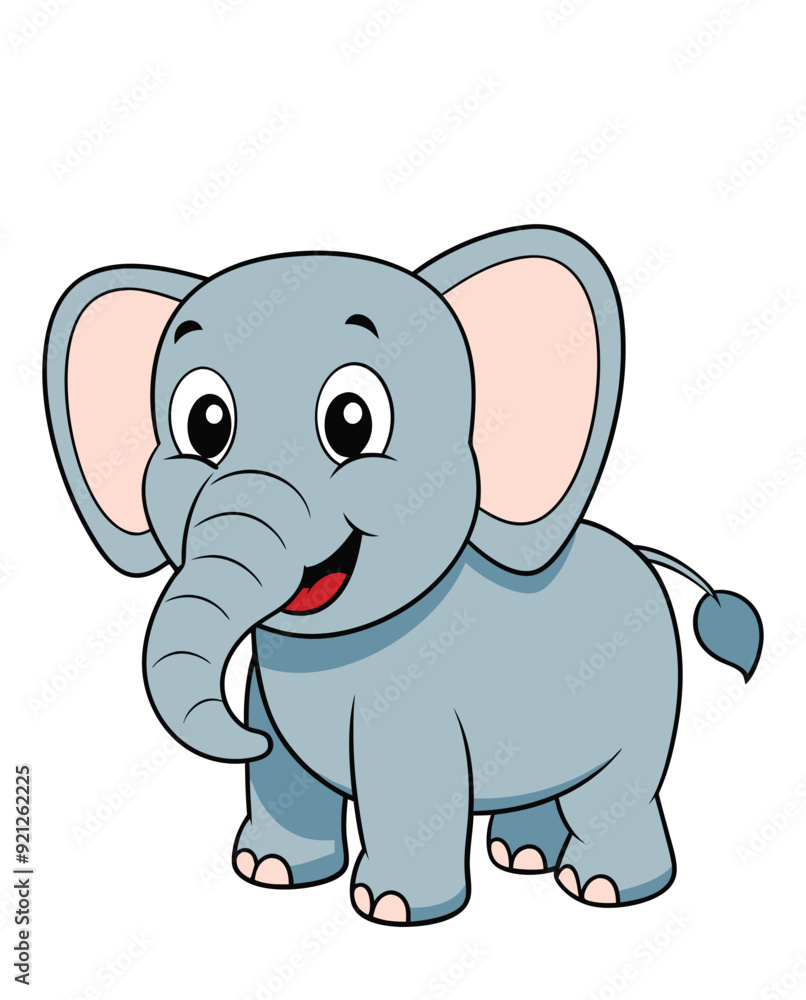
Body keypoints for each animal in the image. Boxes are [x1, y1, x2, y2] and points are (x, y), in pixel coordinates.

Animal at [44, 225, 762, 925]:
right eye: (205, 425)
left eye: (351, 421)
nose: (244, 740)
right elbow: (286, 773)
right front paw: (270, 872)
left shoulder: (416, 702)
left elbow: (406, 784)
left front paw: (390, 908)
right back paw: (522, 855)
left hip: (646, 694)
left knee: (616, 791)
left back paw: (603, 888)